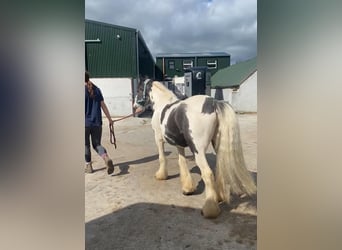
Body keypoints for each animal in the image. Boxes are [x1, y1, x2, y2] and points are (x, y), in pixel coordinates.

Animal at [134, 80, 256, 219]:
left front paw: (161, 176)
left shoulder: (158, 139)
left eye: (139, 89)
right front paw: (187, 188)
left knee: (208, 173)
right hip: (217, 145)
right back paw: (218, 197)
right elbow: (182, 162)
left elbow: (162, 158)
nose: (134, 106)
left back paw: (210, 209)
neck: (162, 103)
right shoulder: (179, 144)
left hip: (198, 150)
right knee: (218, 169)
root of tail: (213, 103)